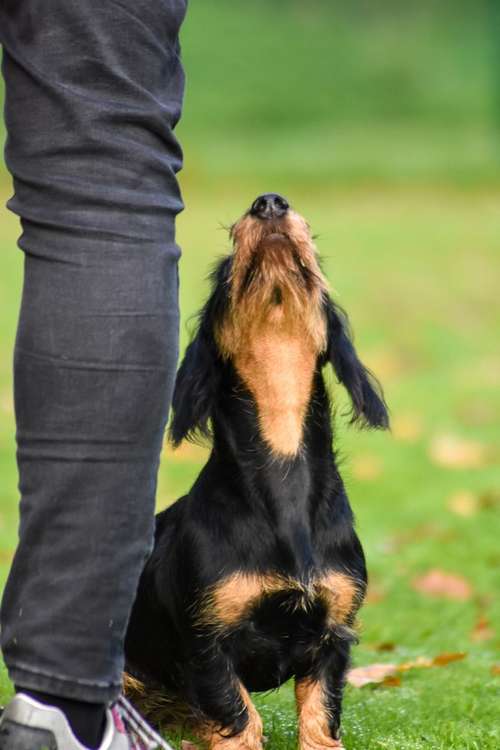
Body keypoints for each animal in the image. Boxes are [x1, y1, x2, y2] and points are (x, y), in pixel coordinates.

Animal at [123, 194, 388, 750]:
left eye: (315, 263)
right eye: (225, 272)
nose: (269, 202)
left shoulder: (334, 635)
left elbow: (321, 719)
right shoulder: (208, 646)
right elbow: (241, 718)